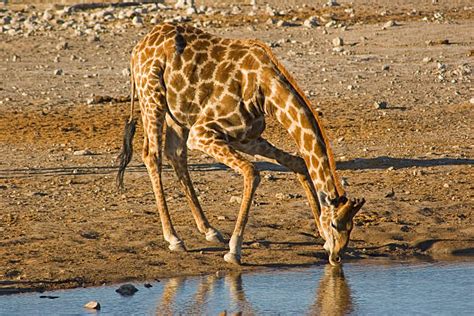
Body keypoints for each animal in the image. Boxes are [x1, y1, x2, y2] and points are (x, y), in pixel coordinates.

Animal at [116, 21, 364, 266]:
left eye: (351, 226)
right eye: (335, 224)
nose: (337, 257)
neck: (266, 92)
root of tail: (137, 48)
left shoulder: (245, 137)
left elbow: (299, 162)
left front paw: (320, 235)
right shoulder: (202, 132)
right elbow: (252, 172)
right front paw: (234, 251)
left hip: (177, 113)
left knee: (175, 154)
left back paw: (209, 230)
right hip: (152, 97)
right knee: (152, 156)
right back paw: (174, 238)